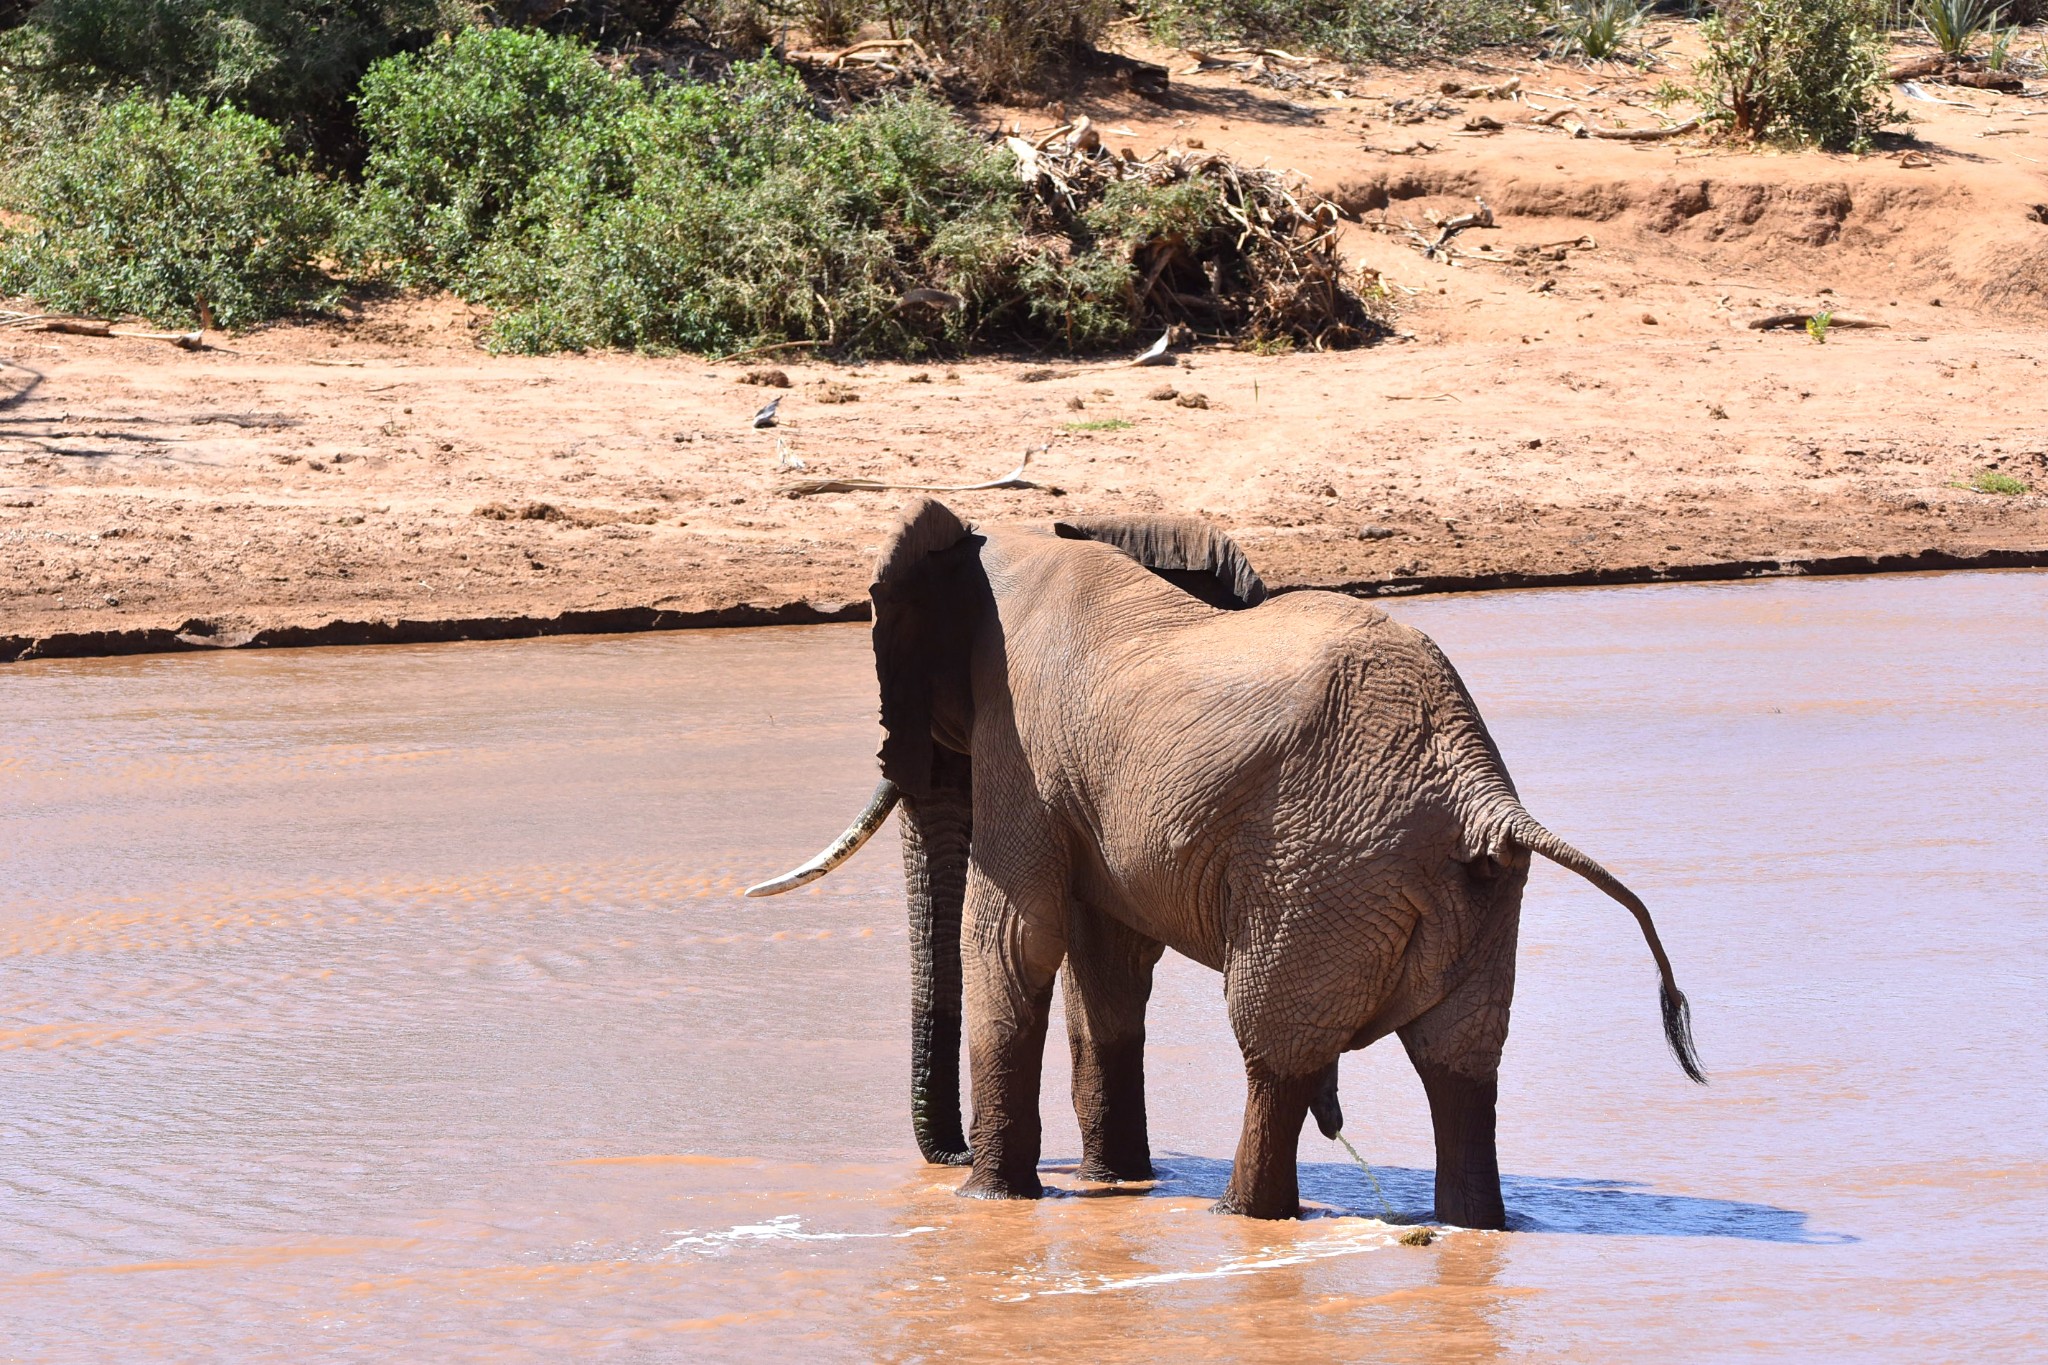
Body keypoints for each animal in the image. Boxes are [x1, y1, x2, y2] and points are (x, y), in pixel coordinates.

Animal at [745, 499, 1703, 1227]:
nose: (944, 1154)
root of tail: (1482, 792)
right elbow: (1108, 968)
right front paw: (1113, 1183)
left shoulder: (1024, 744)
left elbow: (1017, 938)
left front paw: (991, 1199)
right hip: (1471, 892)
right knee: (1461, 1068)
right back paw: (1472, 1225)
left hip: (1322, 871)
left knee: (1275, 1049)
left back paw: (1240, 1217)